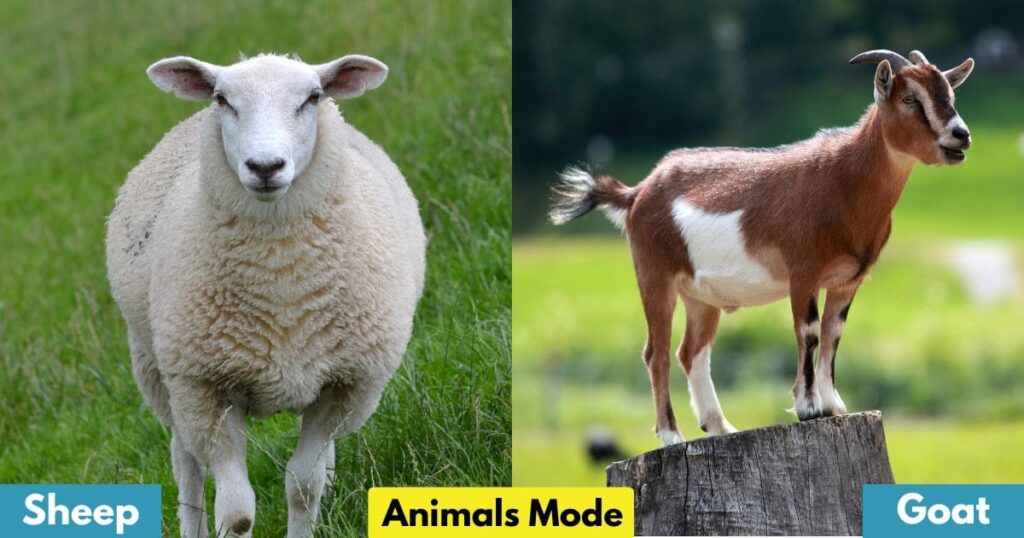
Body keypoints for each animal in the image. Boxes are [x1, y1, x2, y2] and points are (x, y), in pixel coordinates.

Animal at [105, 52, 425, 538]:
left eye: (314, 96)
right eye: (223, 99)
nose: (265, 166)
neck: (282, 282)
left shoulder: (345, 386)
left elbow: (303, 486)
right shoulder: (206, 389)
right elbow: (236, 510)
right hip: (157, 369)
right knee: (187, 464)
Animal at [550, 49, 974, 446]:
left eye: (950, 94)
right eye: (909, 99)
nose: (961, 135)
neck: (844, 181)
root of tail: (636, 193)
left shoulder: (848, 280)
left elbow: (834, 332)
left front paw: (834, 405)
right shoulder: (803, 272)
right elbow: (809, 331)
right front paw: (808, 408)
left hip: (699, 295)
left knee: (691, 351)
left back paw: (720, 426)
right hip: (655, 274)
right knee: (657, 352)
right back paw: (671, 435)